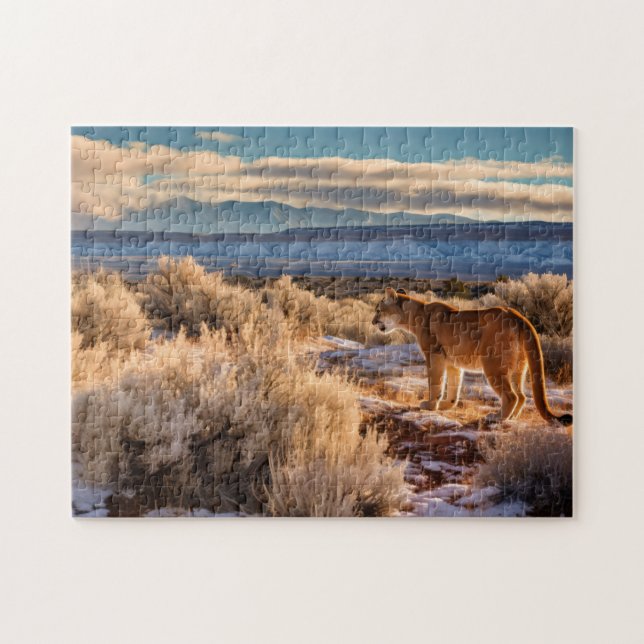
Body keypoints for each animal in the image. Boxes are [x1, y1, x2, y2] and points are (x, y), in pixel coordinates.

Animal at [372, 287, 572, 425]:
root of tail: (518, 316)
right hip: (519, 366)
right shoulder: (452, 362)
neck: (415, 316)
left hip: (492, 364)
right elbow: (454, 387)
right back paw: (512, 418)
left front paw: (430, 405)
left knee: (511, 396)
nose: (373, 322)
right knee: (522, 396)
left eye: (379, 310)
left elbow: (435, 382)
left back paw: (497, 417)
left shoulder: (434, 355)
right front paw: (446, 405)